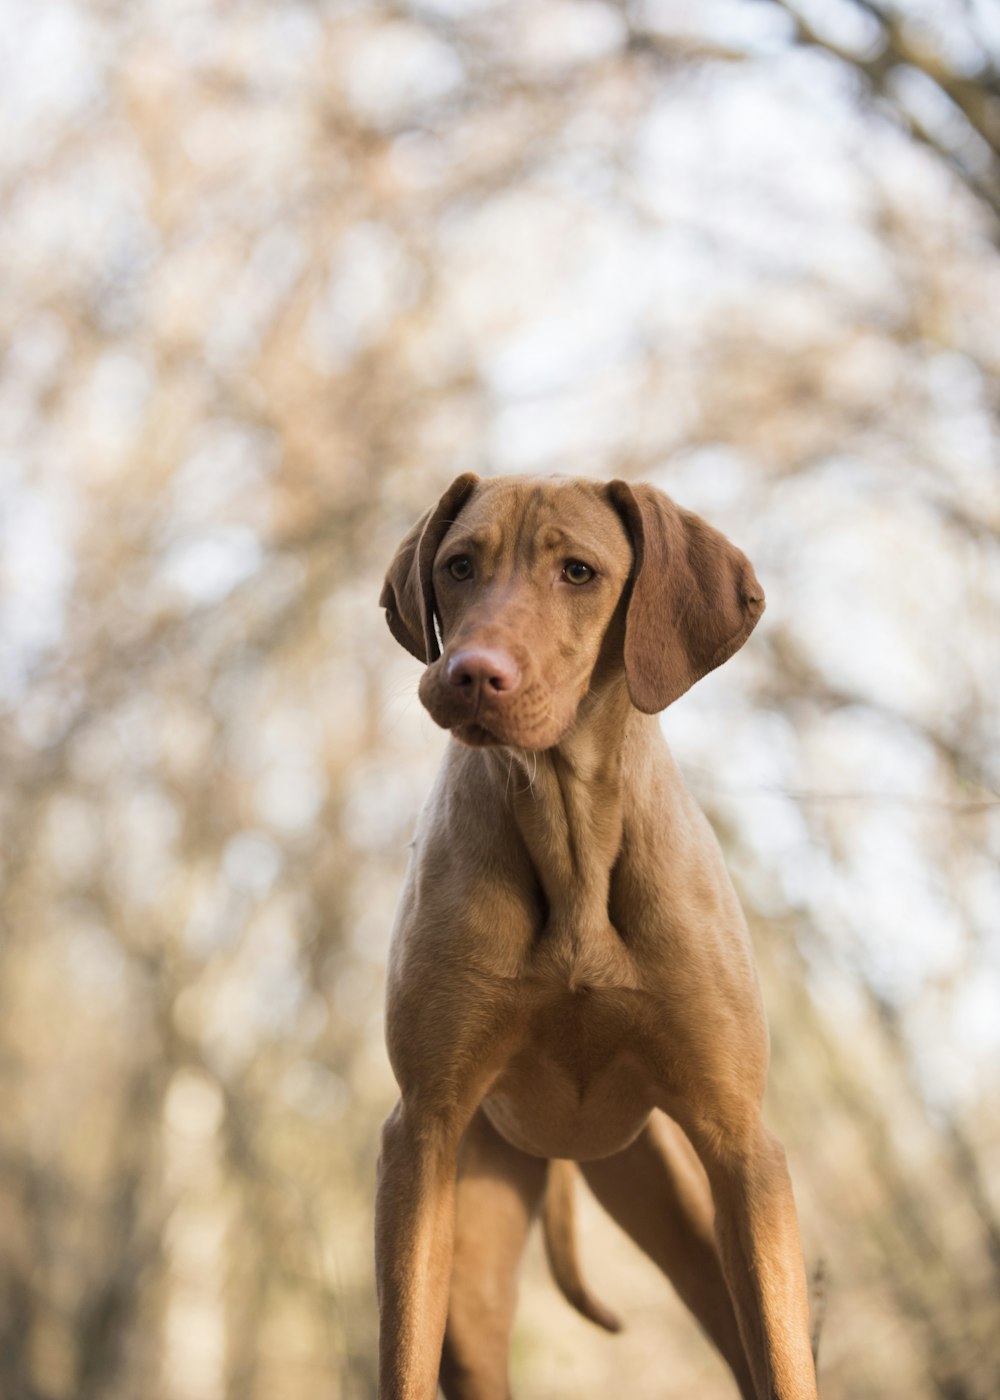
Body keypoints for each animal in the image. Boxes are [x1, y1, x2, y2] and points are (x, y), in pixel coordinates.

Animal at [375, 473, 817, 1400]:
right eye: (458, 566)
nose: (470, 674)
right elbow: (402, 1357)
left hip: (691, 1200)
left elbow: (784, 1364)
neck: (570, 832)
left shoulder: (741, 1145)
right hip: (477, 1237)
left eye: (578, 572)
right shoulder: (422, 1133)